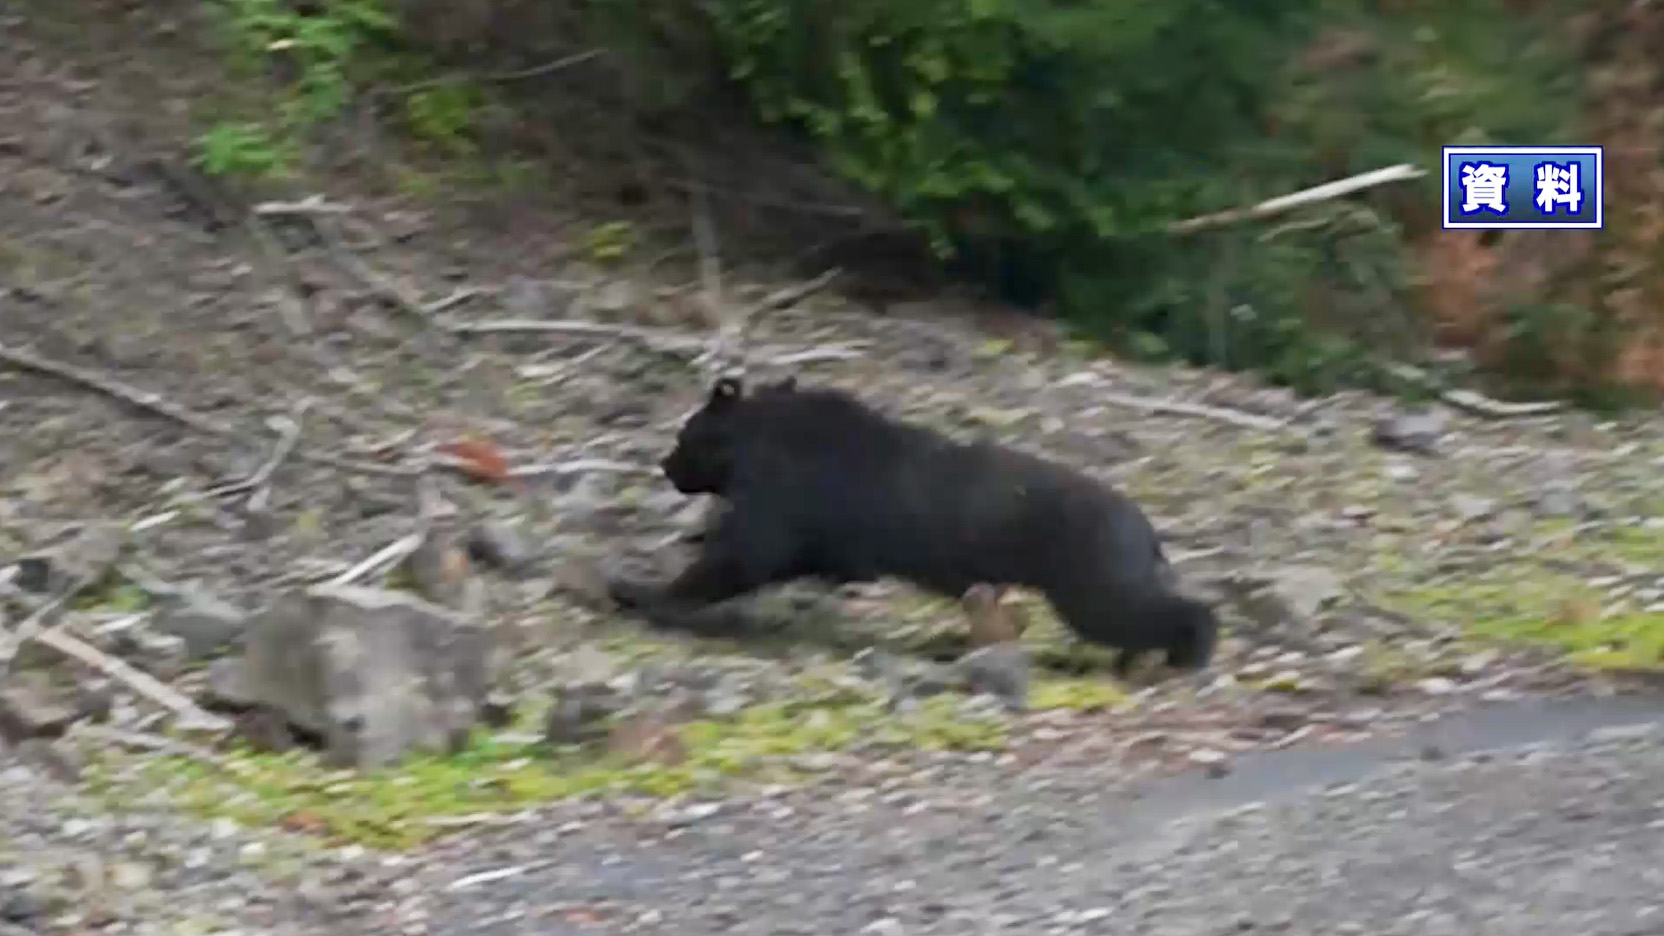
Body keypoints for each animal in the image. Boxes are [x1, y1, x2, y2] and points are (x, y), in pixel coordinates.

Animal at [612, 374, 1224, 672]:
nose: (666, 466)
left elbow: (742, 554)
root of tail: (1147, 531)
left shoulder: (786, 500)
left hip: (1086, 568)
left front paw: (638, 592)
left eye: (683, 435)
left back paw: (1187, 650)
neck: (758, 446)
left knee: (1133, 609)